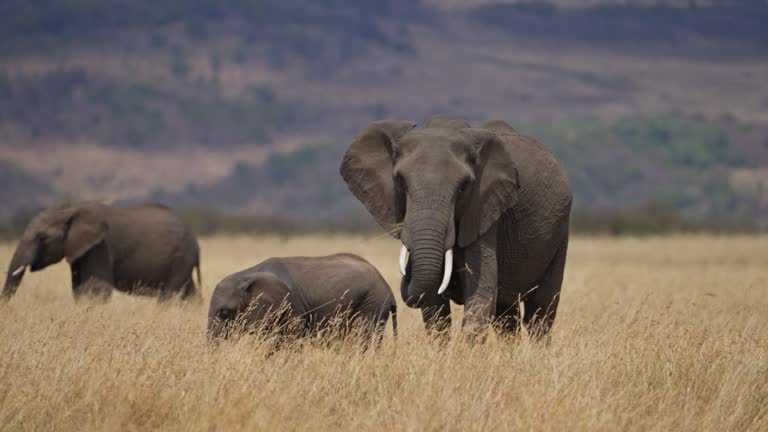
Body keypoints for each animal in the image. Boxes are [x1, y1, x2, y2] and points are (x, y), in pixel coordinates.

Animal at [2, 202, 201, 300]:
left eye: (42, 237)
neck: (70, 210)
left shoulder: (101, 247)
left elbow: (95, 290)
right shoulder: (81, 251)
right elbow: (78, 289)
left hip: (181, 257)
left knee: (168, 295)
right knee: (188, 293)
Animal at [208, 255, 400, 342]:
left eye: (224, 313)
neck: (248, 276)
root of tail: (390, 292)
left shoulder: (291, 304)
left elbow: (291, 337)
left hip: (371, 303)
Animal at [340, 116, 568, 336]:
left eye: (463, 188)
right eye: (401, 182)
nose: (405, 272)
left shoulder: (483, 208)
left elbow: (480, 292)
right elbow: (433, 306)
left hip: (560, 228)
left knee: (540, 312)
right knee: (506, 316)